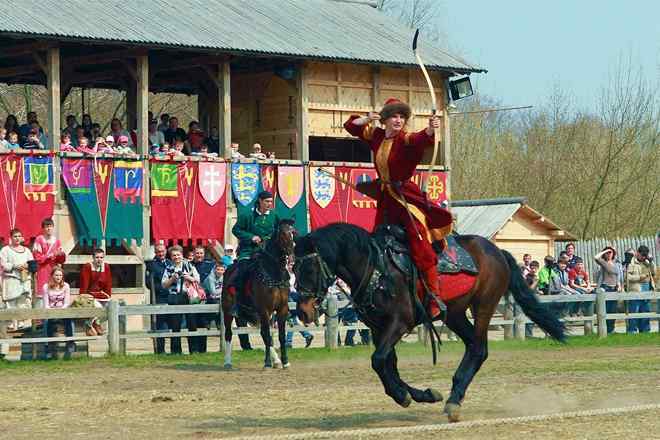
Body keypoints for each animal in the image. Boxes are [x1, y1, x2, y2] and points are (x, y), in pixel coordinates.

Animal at [220, 218, 316, 370]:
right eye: (283, 234)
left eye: (294, 232)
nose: (294, 254)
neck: (273, 273)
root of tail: (229, 270)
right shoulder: (264, 309)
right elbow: (267, 335)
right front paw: (267, 363)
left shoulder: (281, 309)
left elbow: (279, 336)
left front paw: (285, 361)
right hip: (229, 311)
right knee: (229, 334)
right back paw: (228, 362)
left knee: (265, 335)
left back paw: (276, 360)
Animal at [296, 223, 568, 422]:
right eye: (294, 268)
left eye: (309, 268)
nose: (303, 312)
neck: (376, 269)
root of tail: (497, 251)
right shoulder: (377, 328)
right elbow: (388, 364)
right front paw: (420, 394)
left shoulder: (399, 323)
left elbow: (379, 360)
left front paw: (402, 394)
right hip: (456, 314)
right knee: (473, 346)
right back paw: (453, 395)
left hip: (483, 306)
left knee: (479, 349)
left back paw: (454, 402)